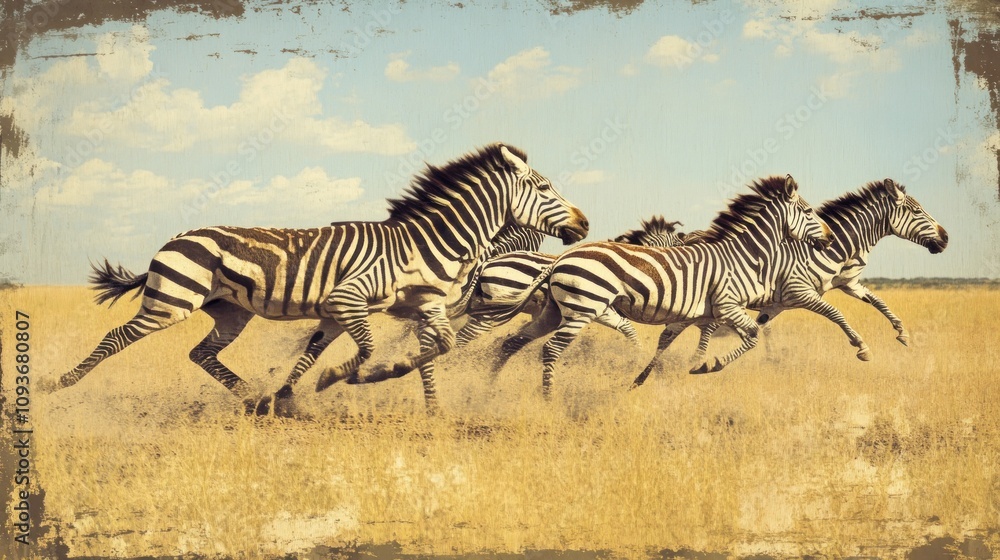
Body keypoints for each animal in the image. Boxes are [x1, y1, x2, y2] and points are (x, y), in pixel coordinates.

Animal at [52, 144, 589, 414]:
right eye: (544, 188)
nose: (584, 225)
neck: (422, 244)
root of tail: (173, 239)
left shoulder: (419, 307)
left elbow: (437, 348)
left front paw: (431, 407)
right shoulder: (350, 298)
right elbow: (367, 350)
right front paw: (344, 377)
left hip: (230, 312)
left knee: (201, 353)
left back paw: (255, 400)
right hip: (171, 302)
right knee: (116, 337)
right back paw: (57, 388)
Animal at [486, 175, 832, 398]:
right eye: (809, 211)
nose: (828, 238)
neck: (741, 255)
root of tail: (560, 259)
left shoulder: (698, 314)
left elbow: (671, 343)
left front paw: (647, 378)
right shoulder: (727, 305)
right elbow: (752, 336)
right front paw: (708, 366)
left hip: (555, 311)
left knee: (511, 343)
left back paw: (486, 391)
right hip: (583, 308)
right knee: (550, 349)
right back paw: (548, 399)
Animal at [682, 178, 948, 374]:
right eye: (917, 211)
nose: (946, 238)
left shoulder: (846, 284)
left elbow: (878, 301)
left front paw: (902, 332)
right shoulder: (799, 293)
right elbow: (836, 314)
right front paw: (861, 347)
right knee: (704, 328)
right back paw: (693, 362)